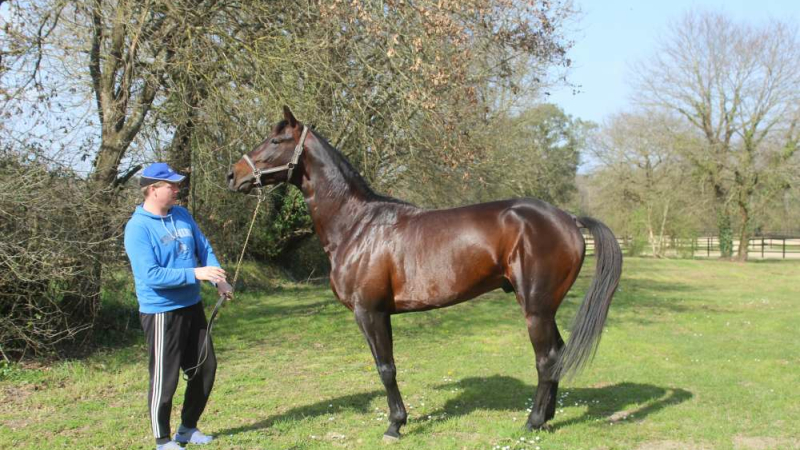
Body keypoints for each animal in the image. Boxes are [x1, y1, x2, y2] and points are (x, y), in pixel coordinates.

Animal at [227, 106, 622, 440]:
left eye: (276, 141)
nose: (233, 174)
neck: (357, 225)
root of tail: (569, 218)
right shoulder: (376, 314)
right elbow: (385, 366)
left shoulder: (370, 312)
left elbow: (386, 368)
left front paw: (395, 425)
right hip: (545, 308)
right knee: (557, 354)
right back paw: (548, 417)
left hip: (536, 308)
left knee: (547, 358)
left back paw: (533, 421)